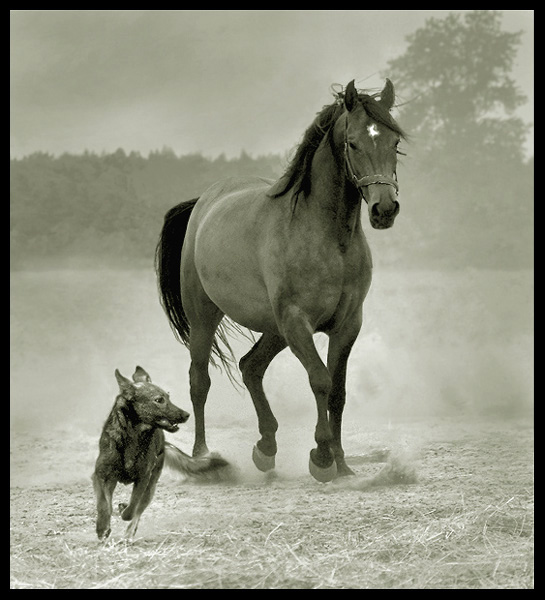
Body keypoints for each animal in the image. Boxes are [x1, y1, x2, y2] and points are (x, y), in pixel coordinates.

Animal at [93, 366, 227, 540]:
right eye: (159, 400)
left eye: (168, 397)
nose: (186, 415)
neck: (133, 436)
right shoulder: (102, 476)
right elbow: (104, 504)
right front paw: (102, 527)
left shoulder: (143, 479)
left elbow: (132, 509)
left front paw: (124, 511)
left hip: (151, 486)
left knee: (139, 510)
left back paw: (129, 532)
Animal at [155, 79, 406, 482]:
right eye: (353, 143)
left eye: (394, 142)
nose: (384, 209)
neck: (325, 237)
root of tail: (203, 204)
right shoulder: (297, 320)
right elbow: (320, 380)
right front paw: (321, 458)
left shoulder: (347, 325)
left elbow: (338, 392)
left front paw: (342, 464)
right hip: (205, 316)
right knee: (199, 381)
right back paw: (203, 456)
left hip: (274, 329)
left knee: (250, 367)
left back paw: (266, 449)